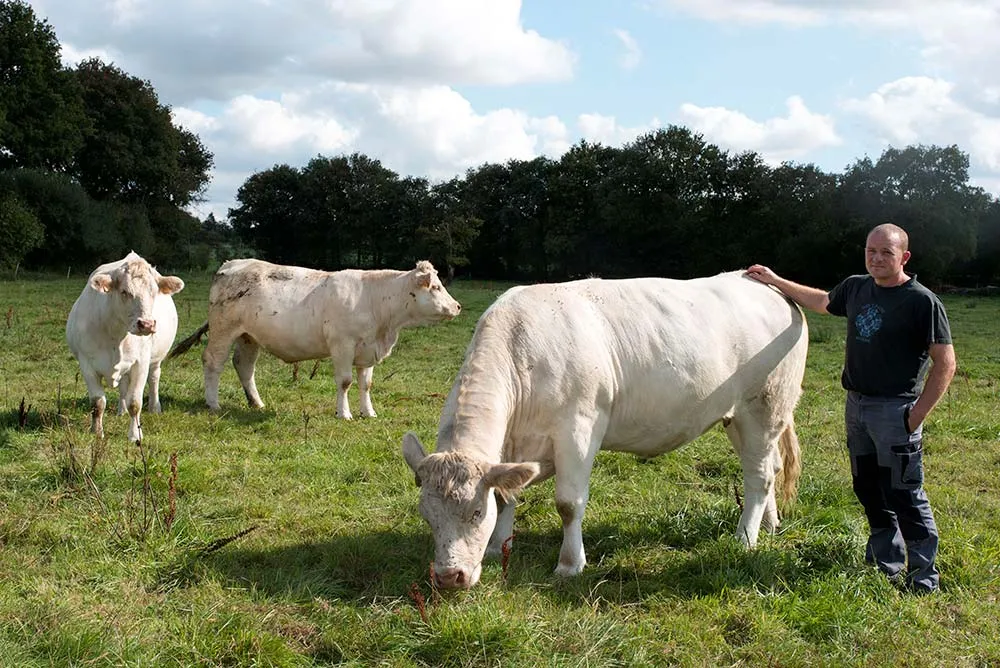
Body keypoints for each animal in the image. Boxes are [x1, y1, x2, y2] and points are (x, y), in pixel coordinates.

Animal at [66, 252, 185, 443]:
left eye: (154, 292)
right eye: (124, 292)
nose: (146, 324)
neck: (116, 332)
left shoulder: (141, 363)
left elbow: (135, 402)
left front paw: (136, 434)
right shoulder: (86, 363)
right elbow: (97, 402)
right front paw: (96, 432)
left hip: (155, 360)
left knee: (154, 378)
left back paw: (155, 407)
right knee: (123, 387)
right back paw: (121, 411)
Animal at [172, 259, 461, 418]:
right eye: (436, 287)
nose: (457, 306)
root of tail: (231, 264)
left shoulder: (367, 351)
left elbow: (366, 384)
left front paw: (368, 412)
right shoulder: (342, 345)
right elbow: (345, 382)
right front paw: (344, 413)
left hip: (248, 336)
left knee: (244, 366)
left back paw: (257, 403)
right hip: (224, 329)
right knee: (213, 362)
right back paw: (213, 403)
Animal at [402, 271, 808, 589]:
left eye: (475, 513)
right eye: (426, 516)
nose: (448, 577)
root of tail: (769, 287)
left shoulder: (579, 428)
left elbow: (568, 504)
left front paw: (570, 564)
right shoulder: (512, 450)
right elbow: (507, 494)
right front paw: (498, 545)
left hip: (764, 407)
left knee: (759, 476)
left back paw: (745, 537)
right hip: (739, 418)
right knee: (768, 469)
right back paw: (770, 524)